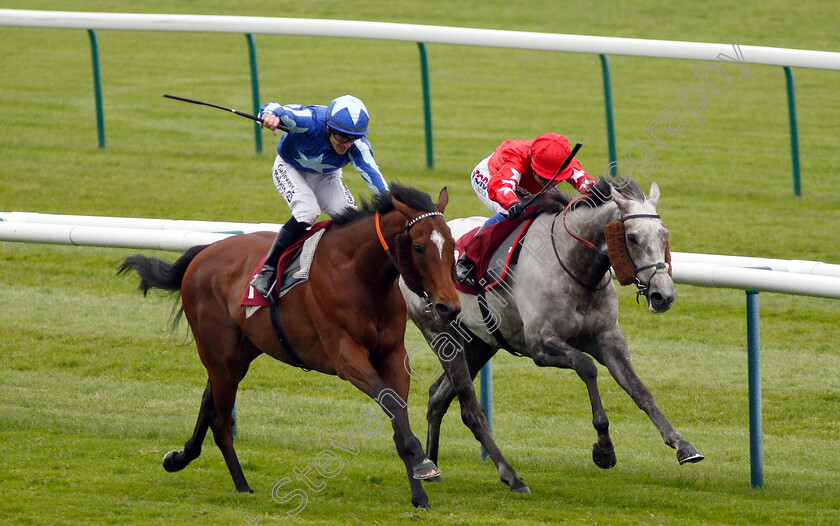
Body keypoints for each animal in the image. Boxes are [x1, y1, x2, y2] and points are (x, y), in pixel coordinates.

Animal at [116, 184, 460, 510]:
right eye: (418, 247)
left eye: (452, 245)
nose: (449, 307)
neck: (360, 275)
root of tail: (203, 252)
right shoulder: (347, 357)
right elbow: (390, 403)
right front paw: (424, 465)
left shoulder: (392, 356)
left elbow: (397, 412)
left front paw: (420, 491)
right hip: (220, 355)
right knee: (221, 420)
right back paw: (241, 484)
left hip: (239, 355)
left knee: (208, 402)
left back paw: (179, 458)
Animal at [400, 179, 704, 498]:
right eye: (632, 238)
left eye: (664, 235)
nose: (663, 296)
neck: (577, 267)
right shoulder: (540, 345)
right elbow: (586, 366)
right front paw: (604, 448)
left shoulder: (608, 339)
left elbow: (640, 390)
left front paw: (683, 445)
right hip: (442, 336)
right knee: (470, 411)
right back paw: (510, 476)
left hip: (478, 343)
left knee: (437, 396)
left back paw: (432, 466)